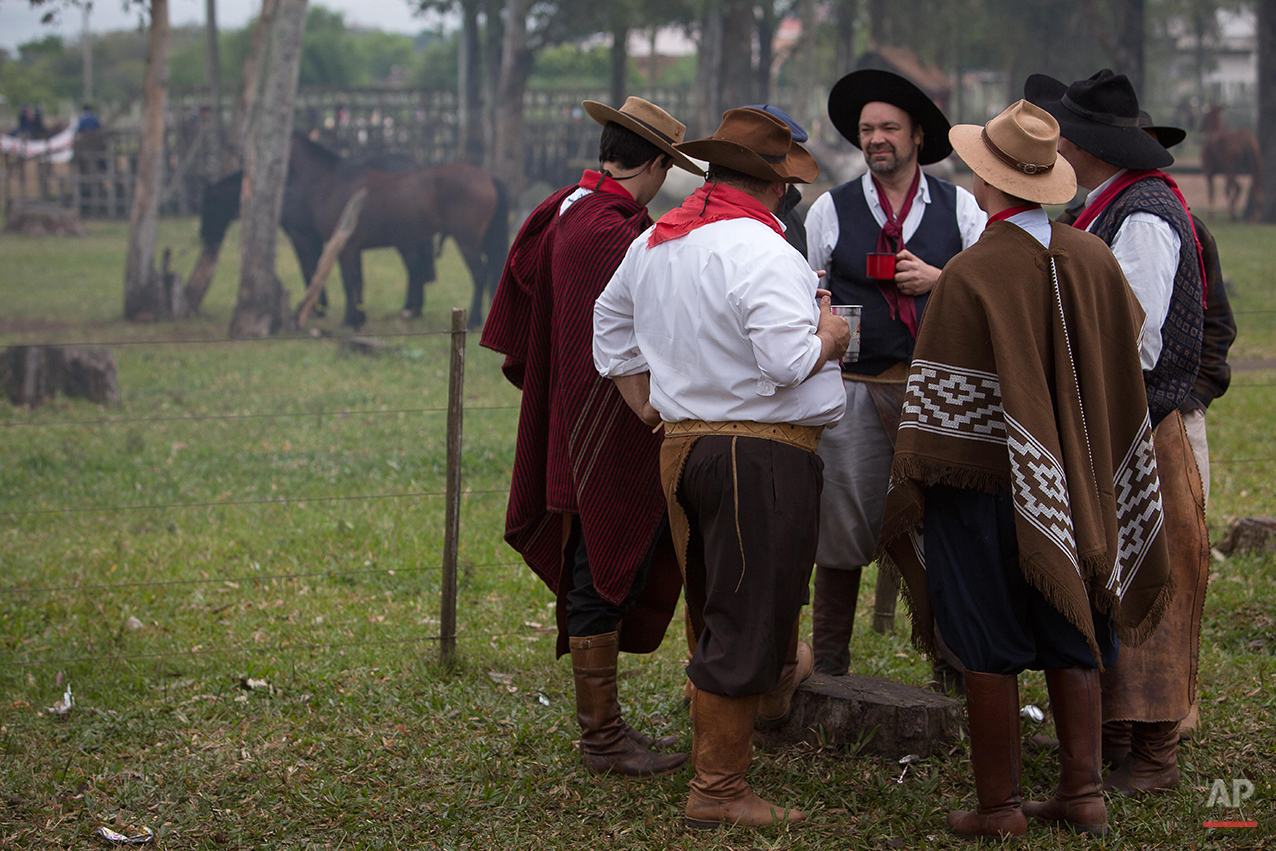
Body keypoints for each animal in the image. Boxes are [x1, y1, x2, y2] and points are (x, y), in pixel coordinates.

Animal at [190, 133, 507, 329]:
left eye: (208, 204)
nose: (204, 237)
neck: (329, 181)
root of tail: (489, 176)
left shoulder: (342, 246)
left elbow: (345, 280)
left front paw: (346, 318)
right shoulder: (347, 247)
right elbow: (355, 281)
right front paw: (355, 318)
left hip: (465, 240)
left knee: (478, 274)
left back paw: (473, 319)